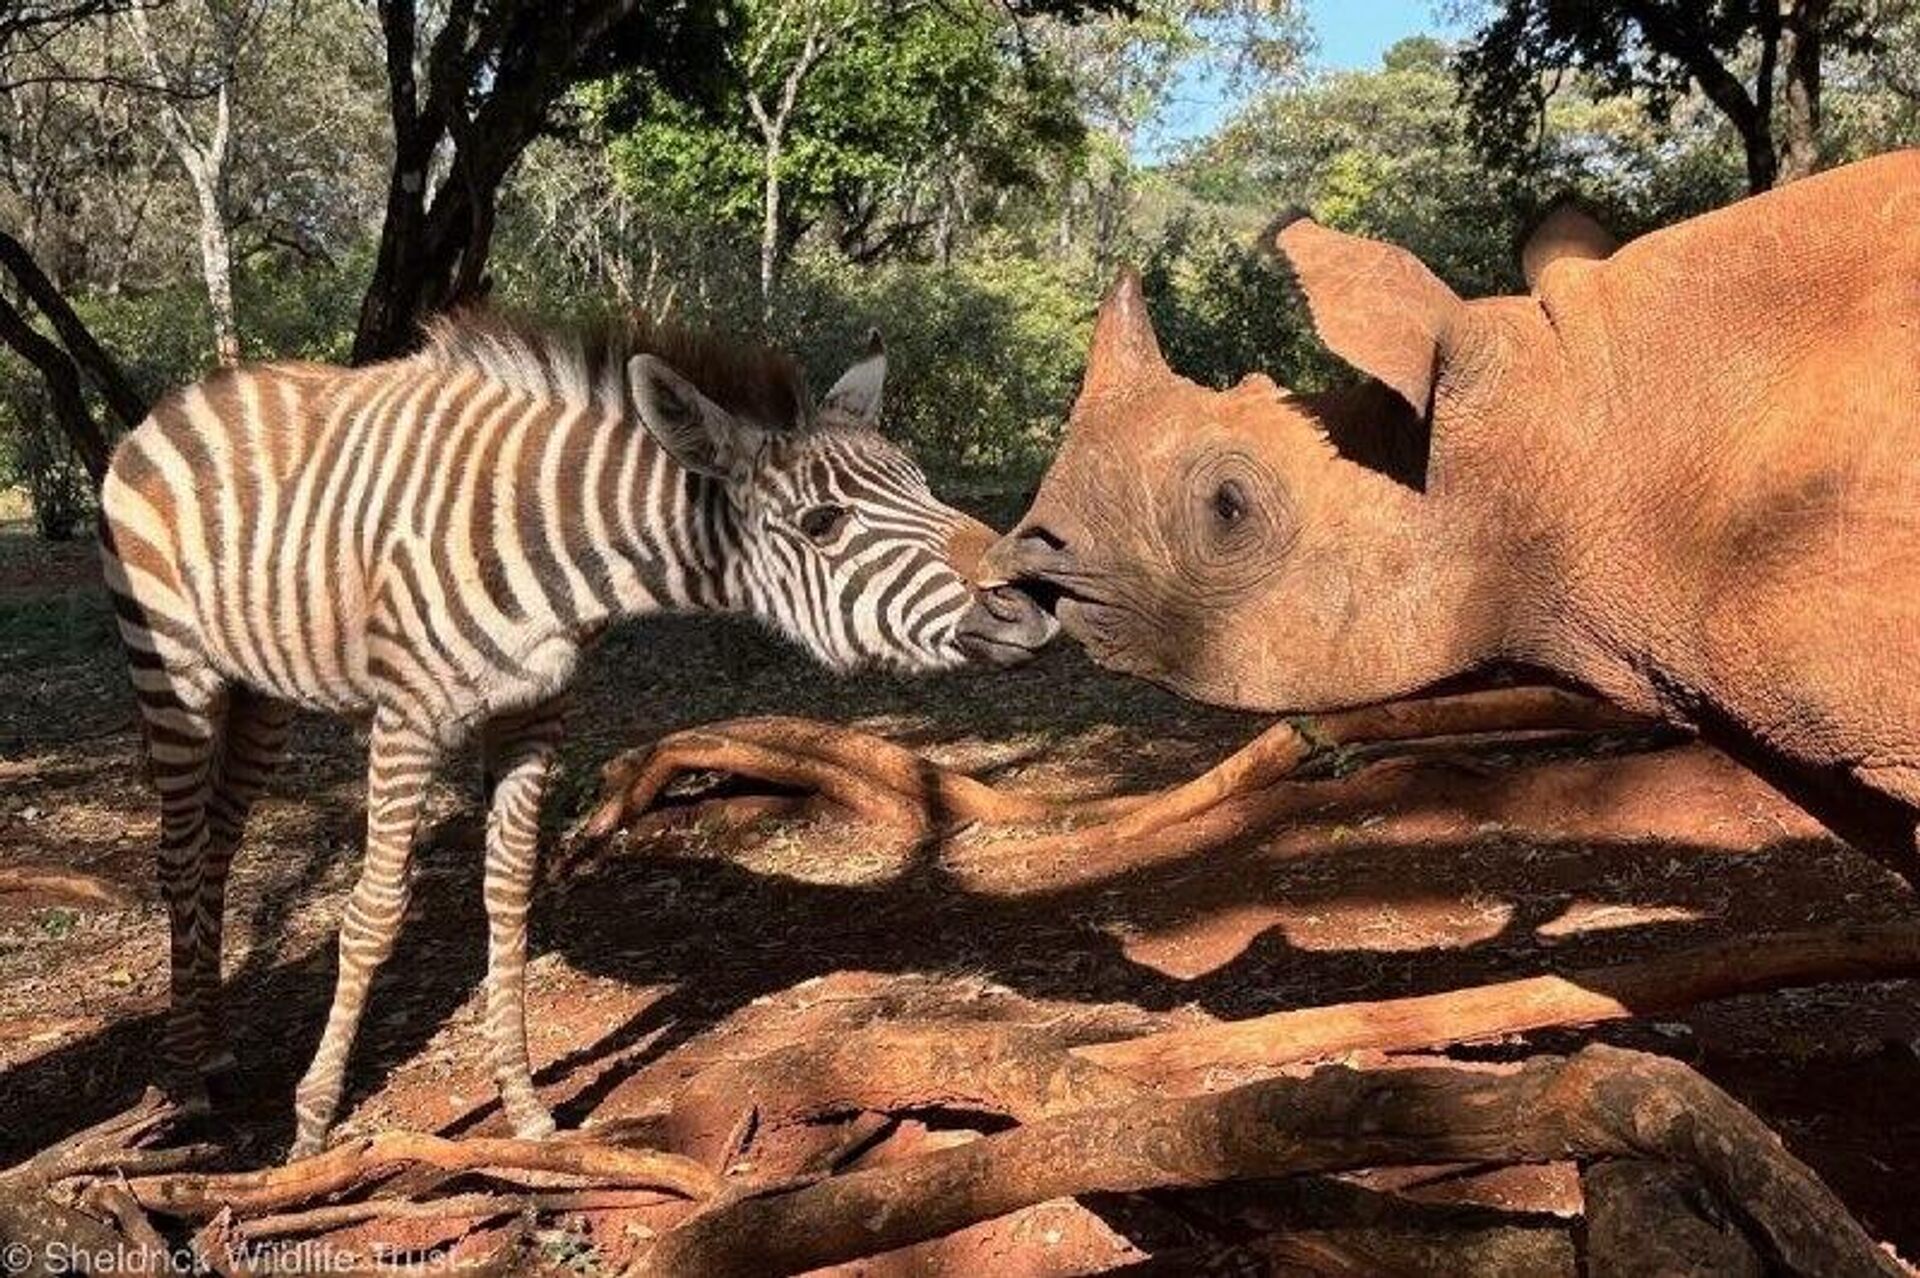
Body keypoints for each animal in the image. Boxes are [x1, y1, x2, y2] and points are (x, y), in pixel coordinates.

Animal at [96, 312, 1057, 1156]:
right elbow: (374, 914)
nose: (1033, 604)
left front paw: (523, 1107)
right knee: (179, 855)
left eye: (925, 486)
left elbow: (510, 890)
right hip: (172, 670)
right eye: (824, 524)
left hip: (261, 692)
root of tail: (192, 392)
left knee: (219, 850)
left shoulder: (535, 711)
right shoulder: (407, 719)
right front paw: (313, 1124)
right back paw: (185, 1080)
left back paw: (214, 1046)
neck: (555, 554)